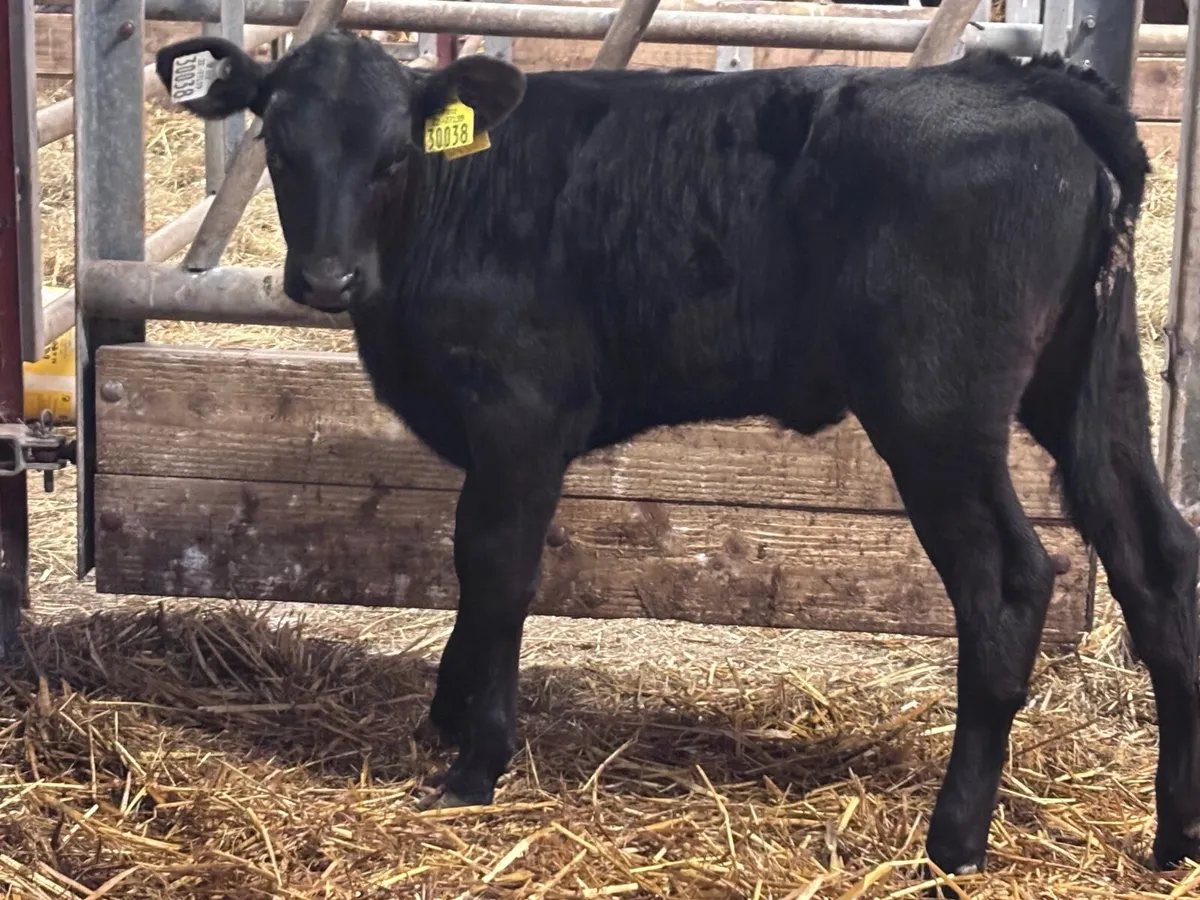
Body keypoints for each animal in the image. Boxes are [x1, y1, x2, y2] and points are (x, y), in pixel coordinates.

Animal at [155, 31, 1200, 879]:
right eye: (279, 144)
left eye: (392, 155)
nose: (327, 279)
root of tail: (1022, 81)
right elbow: (468, 570)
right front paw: (444, 719)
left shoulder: (520, 417)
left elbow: (495, 570)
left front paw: (475, 760)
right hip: (1093, 386)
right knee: (1158, 563)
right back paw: (1175, 836)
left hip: (936, 411)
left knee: (1010, 584)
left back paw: (953, 844)